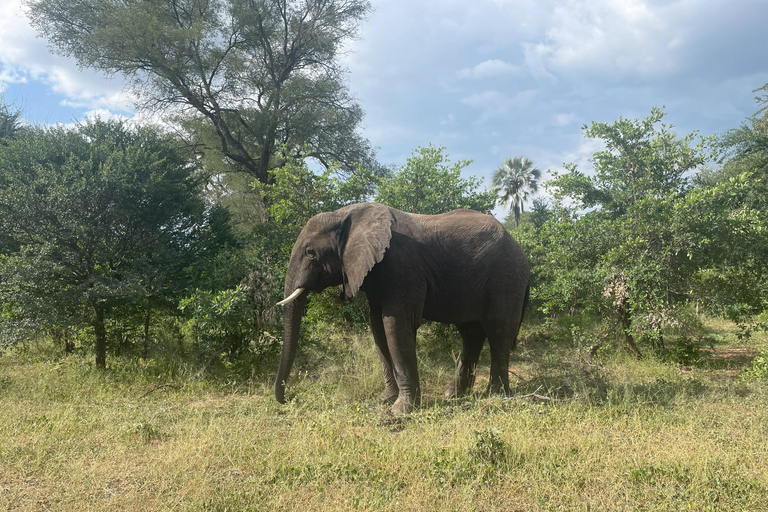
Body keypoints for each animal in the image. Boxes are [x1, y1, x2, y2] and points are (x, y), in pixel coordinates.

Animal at [272, 202, 532, 414]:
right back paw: (453, 394)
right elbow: (378, 329)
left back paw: (497, 395)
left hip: (506, 278)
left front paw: (400, 410)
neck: (346, 214)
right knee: (472, 334)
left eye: (310, 253)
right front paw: (384, 399)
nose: (287, 399)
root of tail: (519, 246)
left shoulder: (402, 267)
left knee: (498, 332)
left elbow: (395, 325)